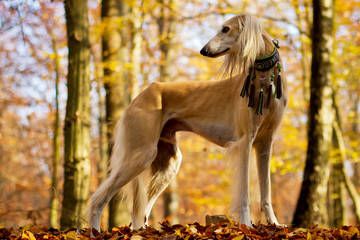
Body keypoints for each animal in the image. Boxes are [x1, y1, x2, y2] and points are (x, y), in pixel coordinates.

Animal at [87, 14, 286, 231]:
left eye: (225, 29)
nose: (203, 50)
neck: (265, 78)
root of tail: (139, 97)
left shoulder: (265, 142)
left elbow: (266, 191)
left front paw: (275, 224)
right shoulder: (244, 141)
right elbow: (244, 193)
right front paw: (247, 225)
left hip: (168, 162)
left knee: (141, 211)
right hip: (141, 153)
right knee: (98, 198)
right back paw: (94, 231)